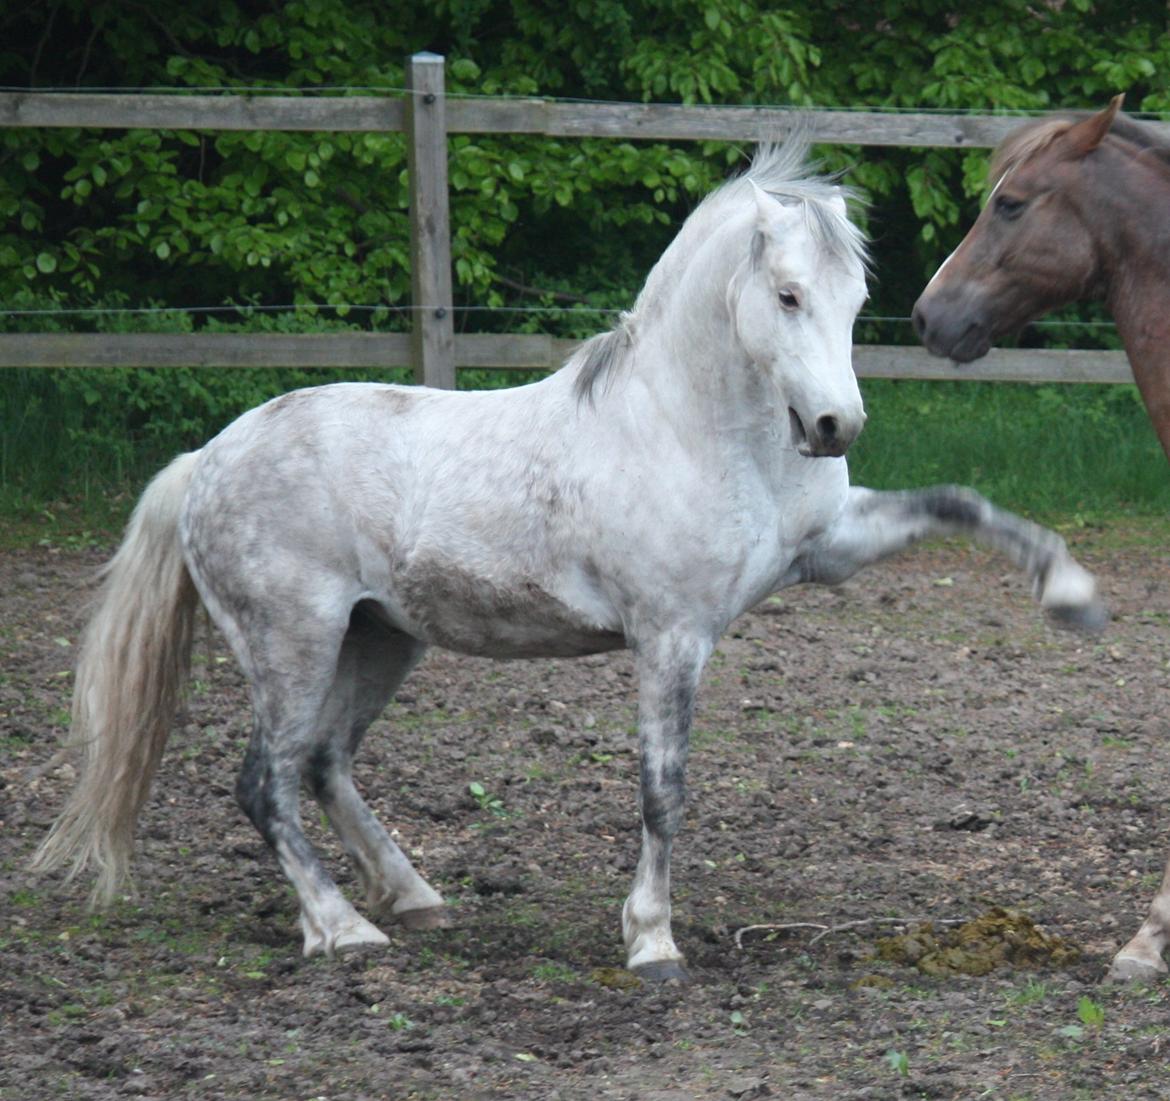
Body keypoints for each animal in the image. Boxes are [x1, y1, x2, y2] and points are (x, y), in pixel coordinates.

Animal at [29, 139, 1104, 978]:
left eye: (857, 298)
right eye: (788, 294)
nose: (835, 425)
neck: (693, 429)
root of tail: (207, 460)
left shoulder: (824, 549)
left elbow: (959, 503)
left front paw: (1073, 594)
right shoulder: (670, 637)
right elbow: (662, 790)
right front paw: (652, 942)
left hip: (379, 639)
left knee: (325, 763)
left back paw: (413, 896)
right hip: (290, 642)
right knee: (266, 783)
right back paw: (340, 932)